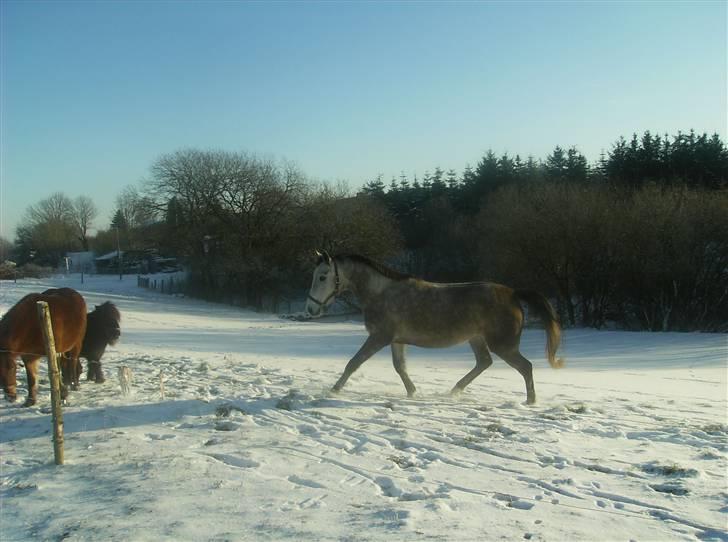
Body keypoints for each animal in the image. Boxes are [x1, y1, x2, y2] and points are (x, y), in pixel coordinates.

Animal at [304, 253, 564, 406]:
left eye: (323, 276)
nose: (310, 309)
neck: (382, 292)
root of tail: (512, 293)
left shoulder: (380, 337)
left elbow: (354, 363)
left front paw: (334, 390)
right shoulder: (396, 340)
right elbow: (400, 367)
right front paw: (413, 392)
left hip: (503, 345)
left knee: (525, 367)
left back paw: (530, 402)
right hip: (477, 339)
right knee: (484, 362)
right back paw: (454, 390)